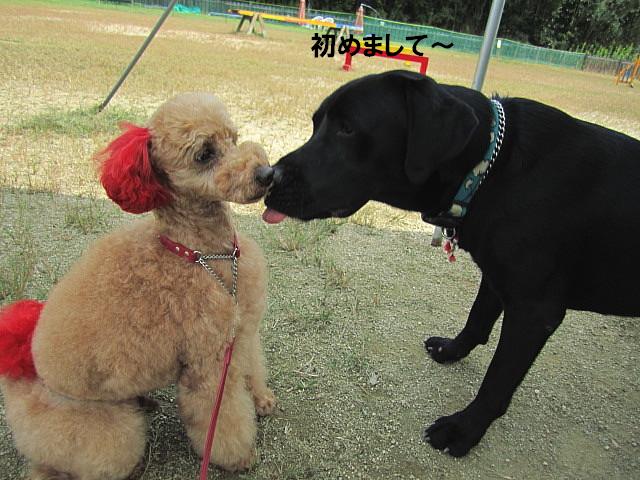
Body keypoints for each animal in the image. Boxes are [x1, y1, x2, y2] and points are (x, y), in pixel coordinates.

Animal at [0, 92, 277, 479]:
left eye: (233, 139)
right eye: (204, 154)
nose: (267, 173)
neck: (197, 251)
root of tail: (22, 380)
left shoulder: (242, 327)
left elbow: (252, 362)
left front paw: (262, 399)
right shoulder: (207, 361)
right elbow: (221, 414)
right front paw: (239, 457)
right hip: (107, 432)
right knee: (62, 467)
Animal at [262, 70, 640, 457]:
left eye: (347, 129)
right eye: (315, 123)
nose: (267, 177)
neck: (492, 167)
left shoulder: (534, 310)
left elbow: (497, 381)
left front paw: (464, 429)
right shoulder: (496, 276)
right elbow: (477, 318)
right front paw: (452, 350)